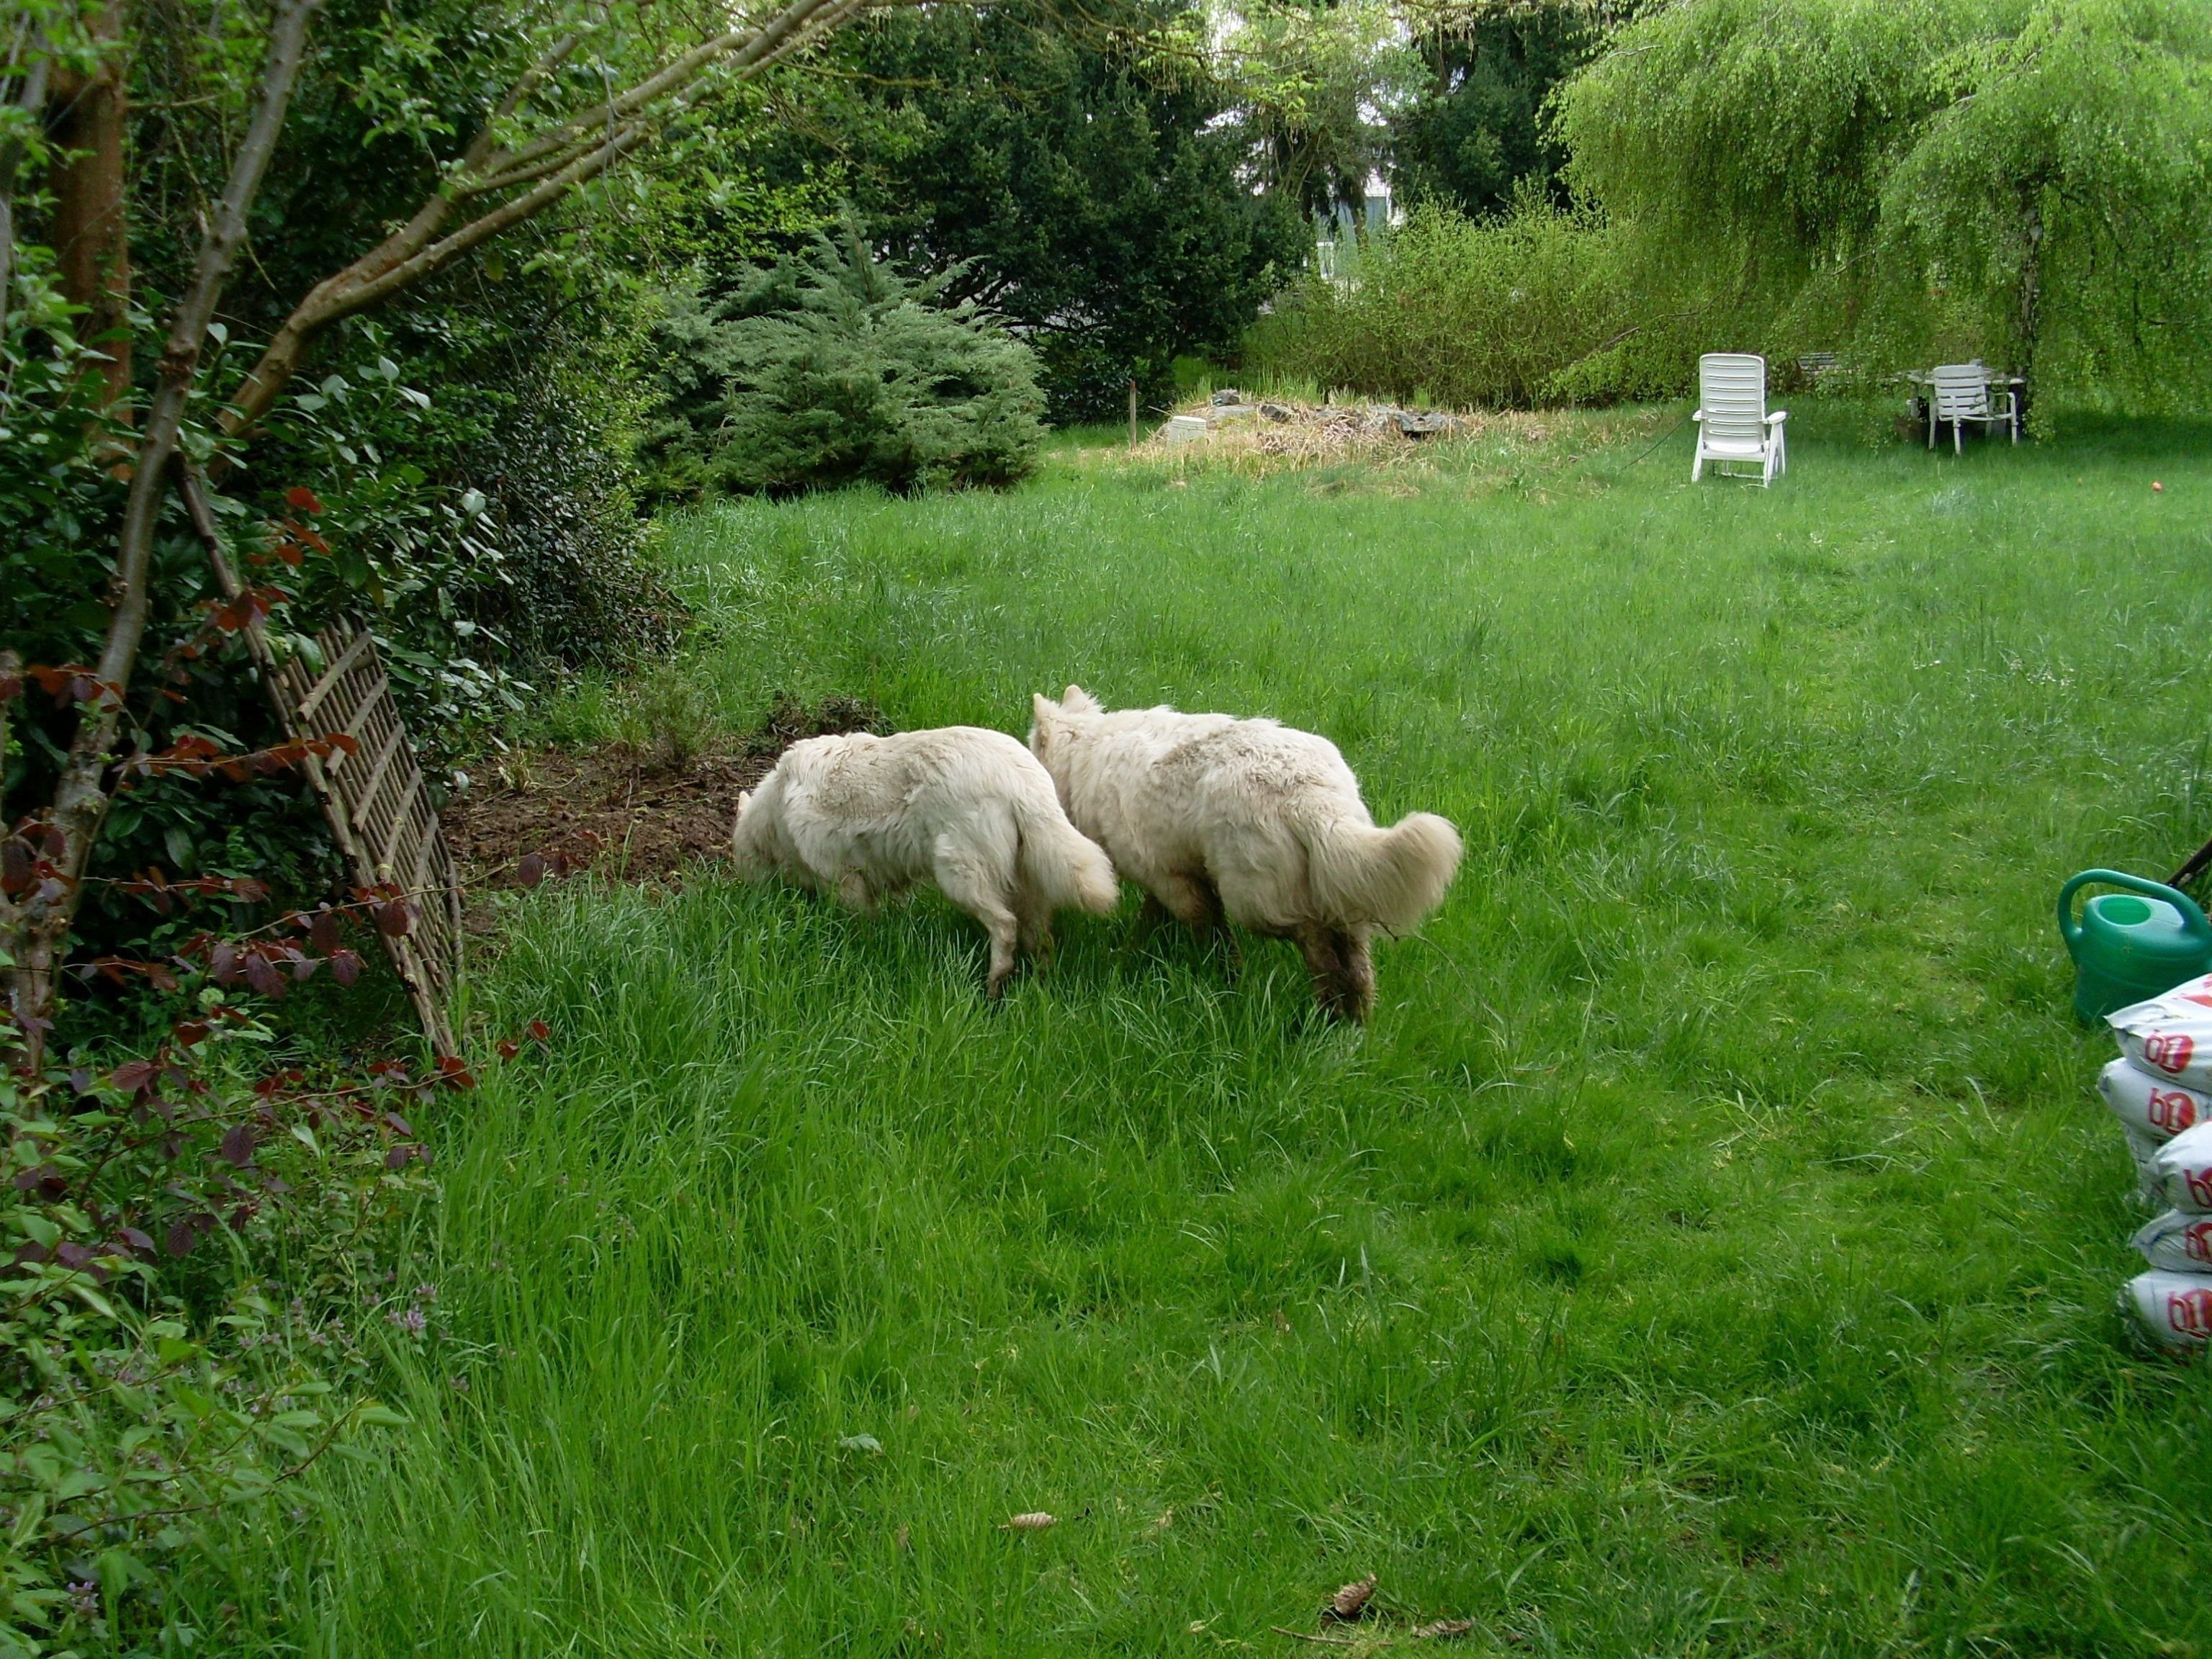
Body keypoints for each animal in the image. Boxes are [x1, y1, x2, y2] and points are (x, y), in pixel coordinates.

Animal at [729, 729, 1115, 999]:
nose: (747, 901)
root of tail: (1024, 783)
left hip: (958, 877)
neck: (775, 812)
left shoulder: (844, 883)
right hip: (1028, 883)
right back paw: (1039, 982)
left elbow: (859, 925)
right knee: (1041, 936)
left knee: (1006, 926)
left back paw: (994, 986)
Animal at [1022, 685, 1460, 1022]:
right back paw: (1352, 1026)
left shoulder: (1172, 880)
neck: (1087, 750)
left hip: (1259, 899)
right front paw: (1130, 954)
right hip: (1338, 890)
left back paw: (1326, 1016)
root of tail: (1309, 795)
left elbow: (1210, 933)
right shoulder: (1172, 874)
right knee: (1357, 968)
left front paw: (1225, 978)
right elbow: (1153, 919)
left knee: (1320, 950)